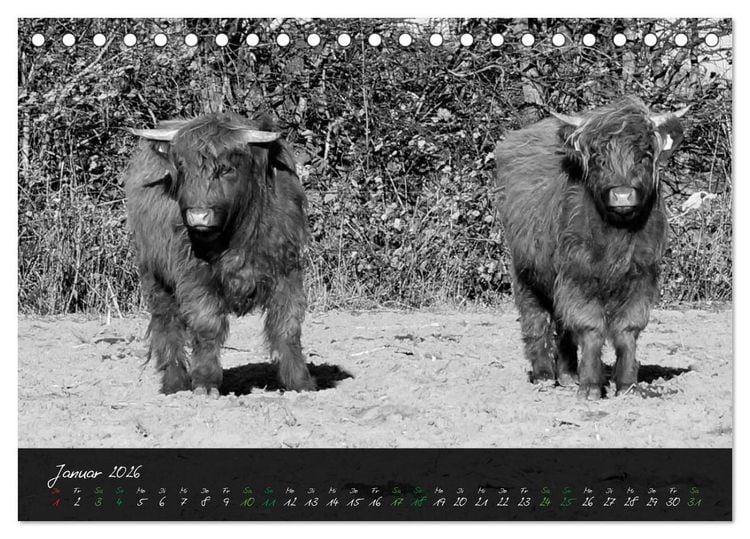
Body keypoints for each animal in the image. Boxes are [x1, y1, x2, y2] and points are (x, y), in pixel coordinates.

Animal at [123, 112, 316, 396]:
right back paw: (175, 384)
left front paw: (301, 382)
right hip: (155, 277)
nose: (198, 216)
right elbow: (207, 325)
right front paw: (205, 383)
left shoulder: (287, 270)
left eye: (227, 169)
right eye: (181, 168)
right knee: (167, 324)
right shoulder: (194, 276)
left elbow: (287, 325)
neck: (237, 235)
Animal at [495, 97, 688, 400]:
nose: (622, 195)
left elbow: (628, 329)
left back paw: (567, 374)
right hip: (526, 271)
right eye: (599, 158)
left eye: (644, 156)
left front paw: (627, 385)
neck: (616, 236)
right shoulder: (579, 275)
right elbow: (590, 328)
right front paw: (590, 387)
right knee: (536, 318)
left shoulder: (641, 275)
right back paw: (544, 374)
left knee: (562, 324)